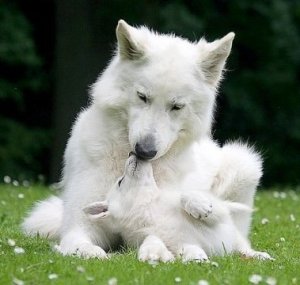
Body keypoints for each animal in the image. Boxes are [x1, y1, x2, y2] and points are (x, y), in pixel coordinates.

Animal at [82, 154, 272, 260]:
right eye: (120, 182)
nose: (131, 152)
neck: (151, 209)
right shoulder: (169, 241)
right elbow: (180, 248)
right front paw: (196, 258)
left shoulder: (220, 213)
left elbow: (186, 197)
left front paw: (201, 207)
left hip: (236, 238)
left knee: (245, 249)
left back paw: (261, 256)